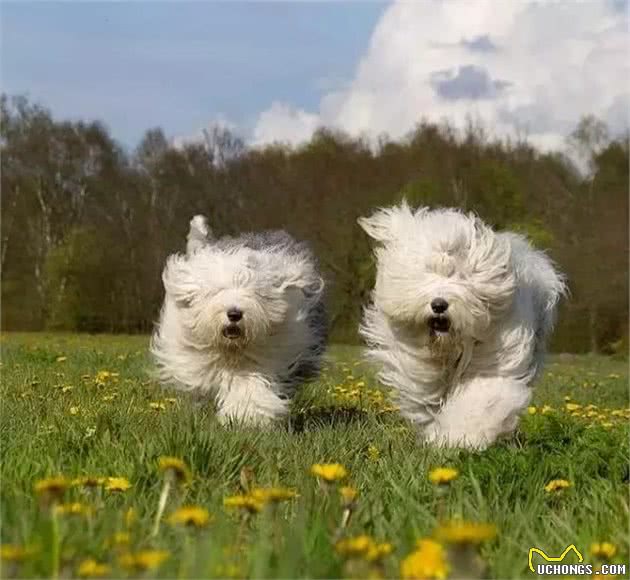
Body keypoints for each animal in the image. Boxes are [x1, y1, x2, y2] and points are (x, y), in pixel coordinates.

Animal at [151, 215, 328, 424]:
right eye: (218, 291)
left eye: (256, 293)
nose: (234, 313)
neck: (232, 350)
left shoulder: (271, 356)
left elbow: (250, 385)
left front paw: (247, 416)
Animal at [360, 203, 568, 448]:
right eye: (427, 272)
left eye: (461, 276)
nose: (439, 305)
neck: (449, 346)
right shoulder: (415, 363)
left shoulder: (494, 359)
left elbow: (482, 397)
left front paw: (461, 437)